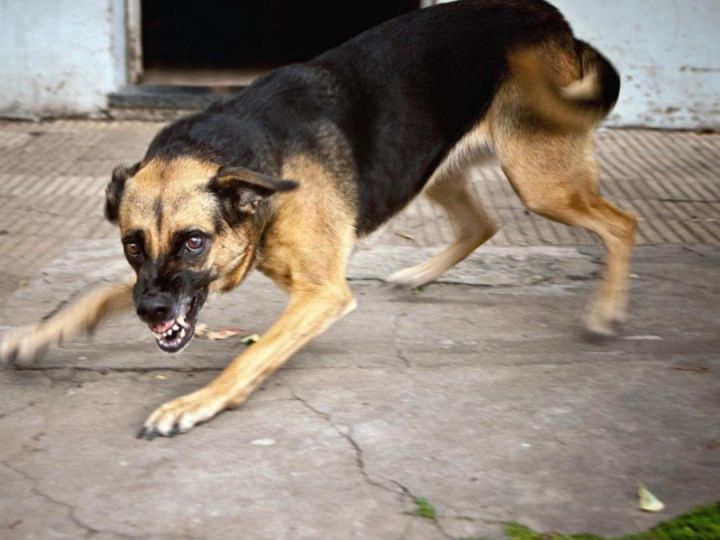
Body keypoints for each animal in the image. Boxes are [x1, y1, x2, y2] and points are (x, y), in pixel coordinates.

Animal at [0, 0, 636, 436]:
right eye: (132, 244)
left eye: (194, 242)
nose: (151, 313)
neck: (258, 171)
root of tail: (549, 14)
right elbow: (94, 294)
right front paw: (35, 334)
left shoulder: (321, 294)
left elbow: (249, 355)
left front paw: (193, 404)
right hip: (434, 168)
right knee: (483, 224)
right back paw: (419, 275)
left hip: (541, 183)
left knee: (622, 223)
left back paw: (605, 310)